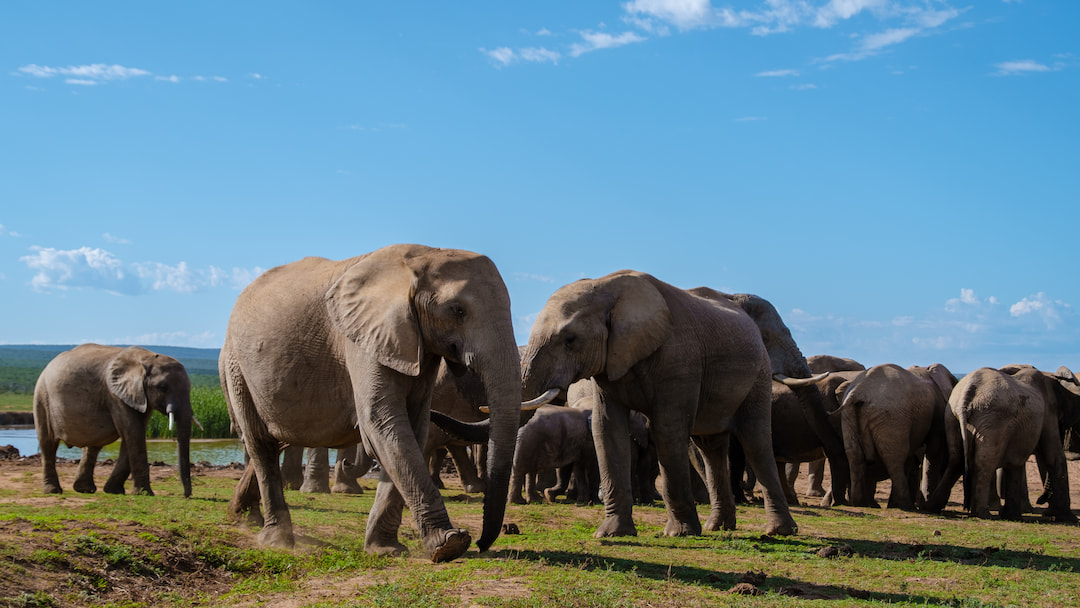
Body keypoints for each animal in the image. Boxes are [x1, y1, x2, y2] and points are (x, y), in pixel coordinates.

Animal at [33, 344, 193, 497]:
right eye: (163, 387)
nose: (185, 495)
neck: (145, 359)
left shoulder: (139, 397)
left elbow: (134, 433)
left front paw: (114, 491)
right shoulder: (115, 396)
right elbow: (134, 432)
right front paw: (145, 493)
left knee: (92, 446)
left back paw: (85, 489)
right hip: (42, 397)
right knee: (48, 443)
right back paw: (53, 491)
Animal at [219, 244, 541, 562]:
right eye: (457, 310)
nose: (482, 544)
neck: (424, 255)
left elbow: (411, 428)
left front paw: (386, 550)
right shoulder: (363, 337)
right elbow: (383, 422)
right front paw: (450, 544)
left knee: (276, 439)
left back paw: (243, 516)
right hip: (236, 367)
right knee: (260, 442)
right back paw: (278, 541)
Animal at [520, 271, 799, 538]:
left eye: (570, 339)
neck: (607, 286)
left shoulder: (678, 359)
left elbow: (667, 430)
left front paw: (680, 533)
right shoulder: (610, 362)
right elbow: (607, 430)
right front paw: (611, 533)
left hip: (758, 375)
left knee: (755, 441)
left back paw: (779, 531)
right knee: (711, 448)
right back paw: (718, 527)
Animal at [837, 363, 958, 511]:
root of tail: (856, 393)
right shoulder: (937, 409)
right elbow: (934, 450)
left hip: (848, 417)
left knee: (854, 455)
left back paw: (860, 503)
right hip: (891, 417)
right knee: (895, 458)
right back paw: (906, 506)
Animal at [925, 365, 1080, 522]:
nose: (1040, 500)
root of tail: (966, 396)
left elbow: (1015, 462)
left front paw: (1012, 517)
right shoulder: (1048, 412)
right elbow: (1054, 457)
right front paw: (1070, 520)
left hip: (952, 418)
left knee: (956, 461)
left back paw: (932, 508)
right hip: (992, 421)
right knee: (984, 465)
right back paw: (983, 515)